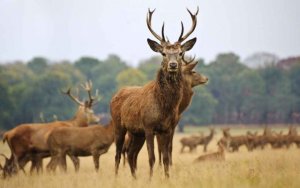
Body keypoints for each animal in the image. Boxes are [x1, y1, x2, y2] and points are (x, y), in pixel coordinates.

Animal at [111, 7, 200, 178]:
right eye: (163, 53)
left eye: (180, 53)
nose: (173, 65)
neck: (165, 107)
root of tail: (115, 95)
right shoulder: (149, 126)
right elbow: (152, 157)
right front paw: (151, 179)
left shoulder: (167, 129)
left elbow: (166, 157)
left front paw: (167, 178)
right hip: (119, 125)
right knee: (118, 154)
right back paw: (116, 177)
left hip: (136, 132)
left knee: (131, 154)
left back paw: (134, 178)